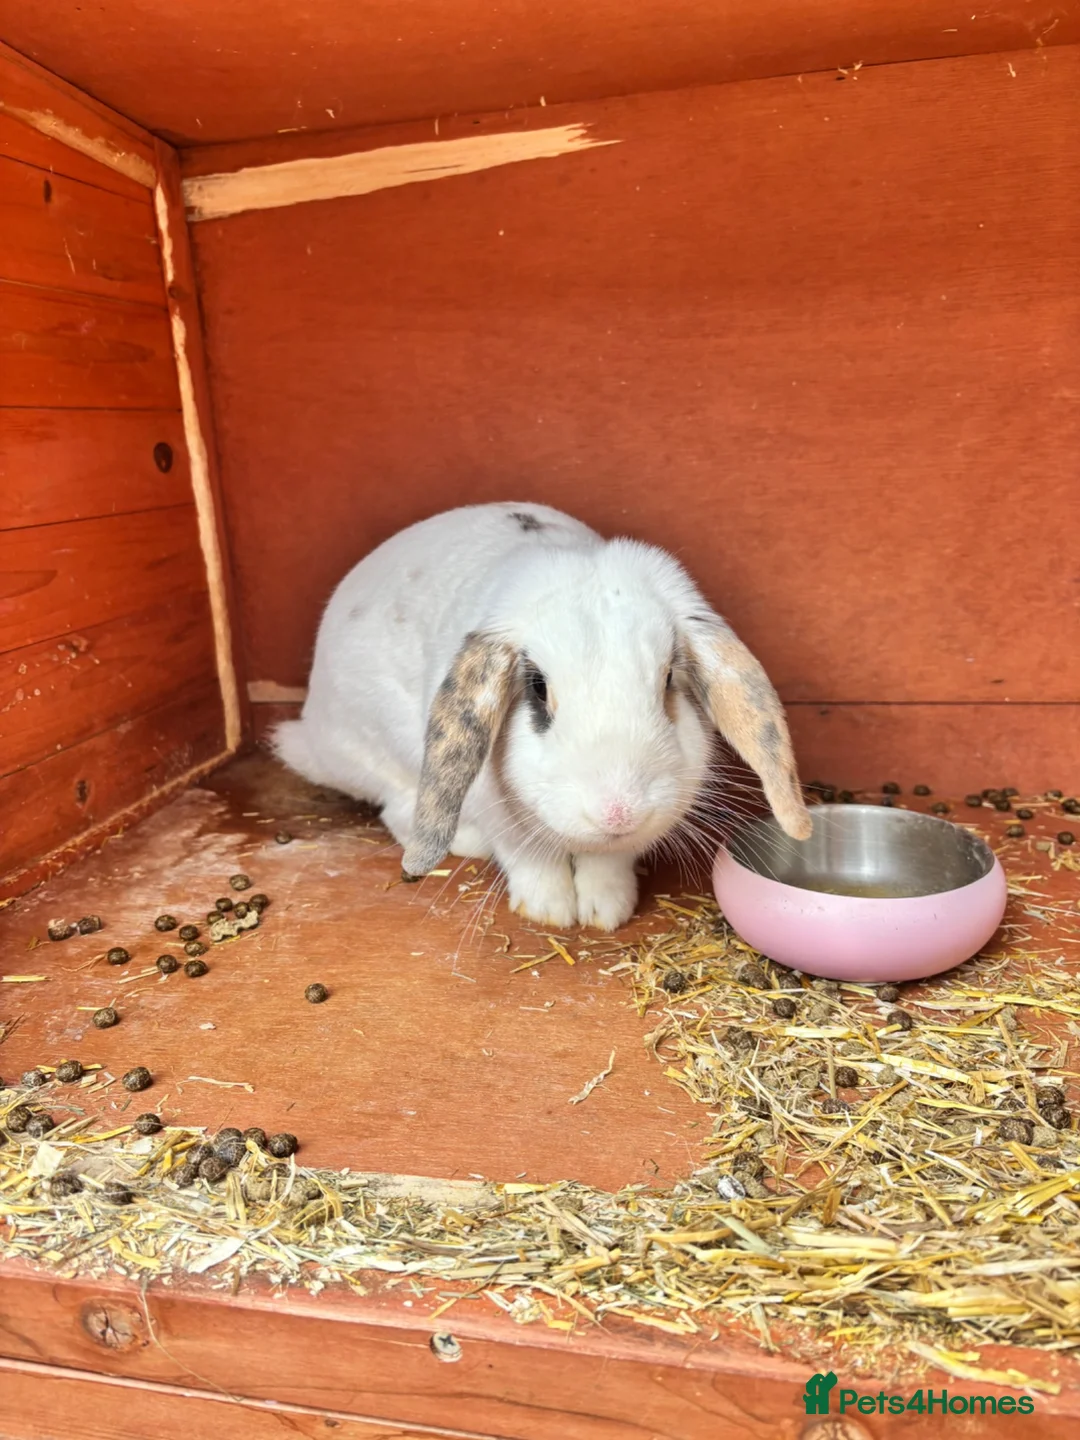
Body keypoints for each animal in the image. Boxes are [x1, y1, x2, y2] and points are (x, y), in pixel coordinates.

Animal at [274, 501, 811, 931]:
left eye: (666, 681)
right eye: (538, 688)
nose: (619, 811)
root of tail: (312, 734)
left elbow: (607, 864)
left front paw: (605, 913)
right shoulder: (502, 815)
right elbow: (531, 860)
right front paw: (550, 912)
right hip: (381, 755)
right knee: (396, 808)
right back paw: (467, 843)